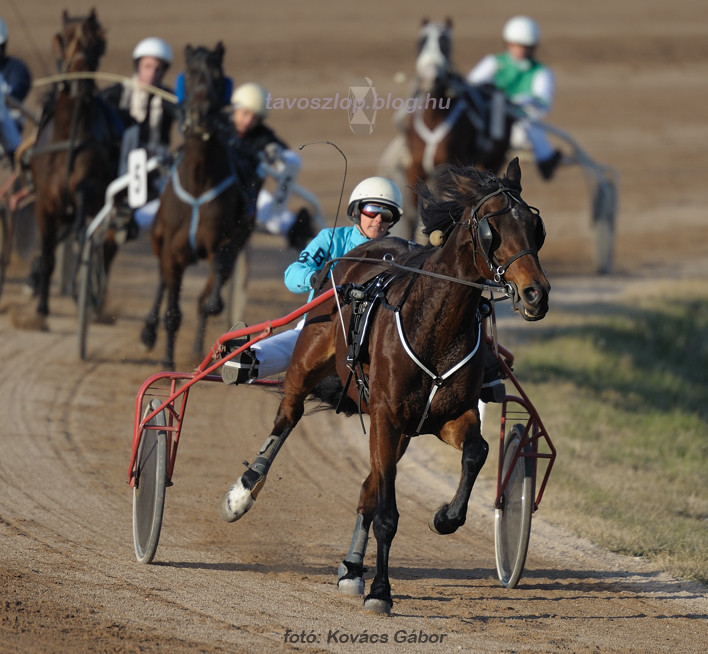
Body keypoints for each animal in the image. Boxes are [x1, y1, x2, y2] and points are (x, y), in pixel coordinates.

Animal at [27, 9, 117, 326]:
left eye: (97, 43)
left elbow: (83, 227)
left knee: (104, 245)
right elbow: (48, 255)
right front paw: (41, 308)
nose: (80, 82)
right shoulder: (44, 203)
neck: (69, 134)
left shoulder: (87, 189)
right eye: (64, 39)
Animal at [140, 43, 250, 372]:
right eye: (188, 75)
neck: (200, 180)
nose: (200, 114)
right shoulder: (172, 251)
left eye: (217, 76)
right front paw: (166, 359)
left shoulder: (226, 240)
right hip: (158, 239)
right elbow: (172, 311)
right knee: (162, 282)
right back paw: (149, 331)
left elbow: (211, 299)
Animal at [218, 158, 552, 616]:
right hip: (310, 361)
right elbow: (388, 515)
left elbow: (477, 452)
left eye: (535, 226)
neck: (433, 324)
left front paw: (444, 517)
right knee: (288, 417)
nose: (537, 294)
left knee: (369, 486)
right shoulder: (386, 415)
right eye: (492, 228)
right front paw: (381, 590)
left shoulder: (445, 417)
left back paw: (351, 568)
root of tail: (355, 256)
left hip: (398, 429)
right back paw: (244, 489)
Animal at [398, 19, 516, 242]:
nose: (431, 76)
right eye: (421, 42)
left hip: (491, 160)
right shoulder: (414, 167)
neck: (434, 117)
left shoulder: (445, 167)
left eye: (445, 44)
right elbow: (411, 213)